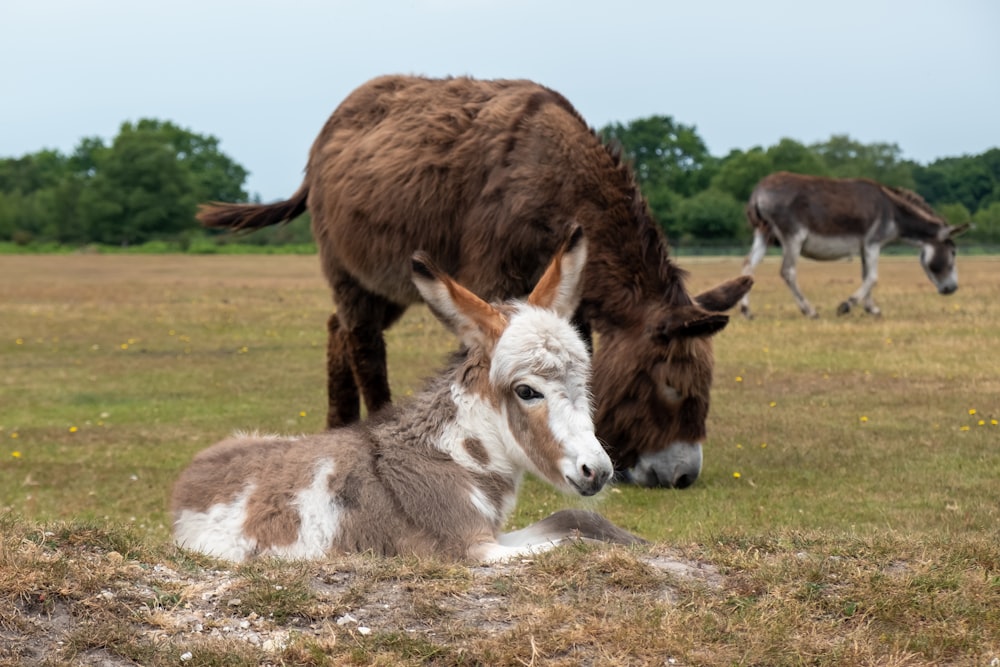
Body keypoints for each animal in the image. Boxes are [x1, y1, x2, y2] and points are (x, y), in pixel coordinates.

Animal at [171, 230, 640, 564]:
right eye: (527, 391)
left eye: (585, 381)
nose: (598, 471)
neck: (453, 456)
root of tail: (185, 486)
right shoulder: (473, 548)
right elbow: (573, 545)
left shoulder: (494, 534)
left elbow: (577, 519)